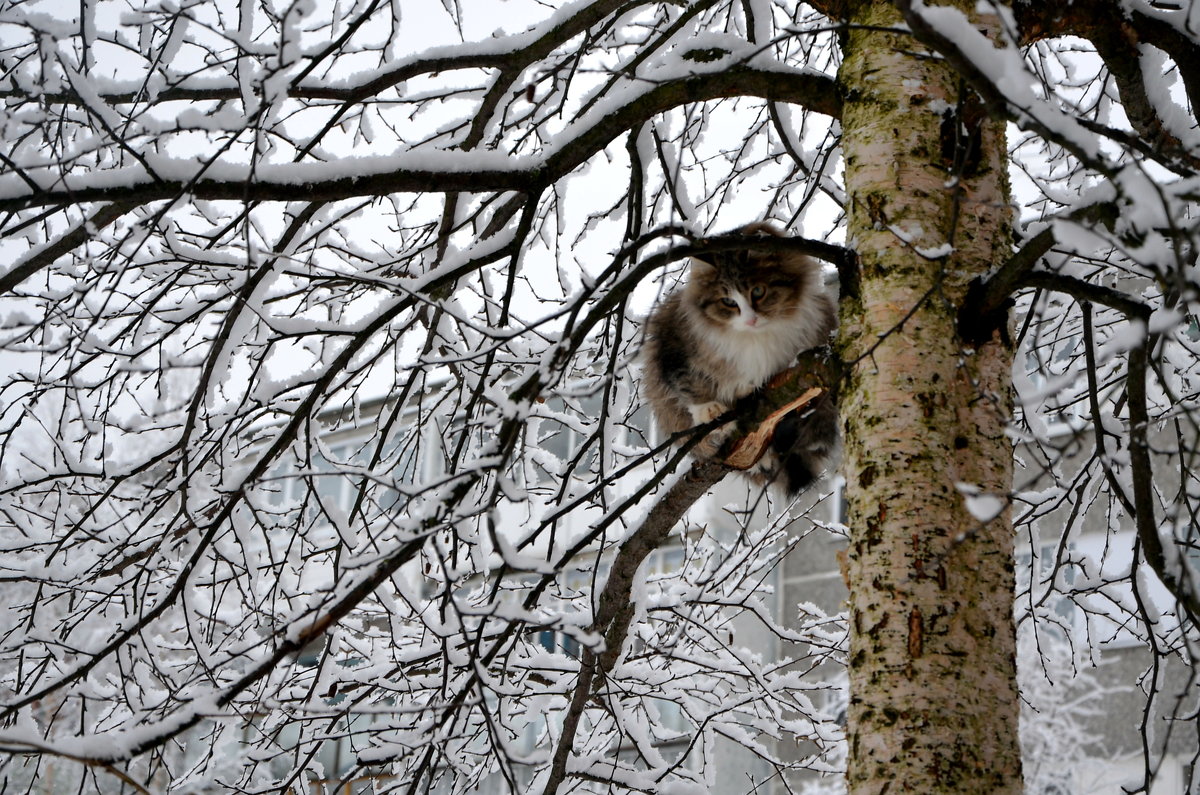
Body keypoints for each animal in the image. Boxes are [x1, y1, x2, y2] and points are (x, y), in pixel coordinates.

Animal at [643, 224, 840, 494]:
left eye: (758, 291)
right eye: (728, 301)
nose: (750, 320)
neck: (754, 337)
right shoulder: (672, 347)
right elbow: (688, 384)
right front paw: (711, 410)